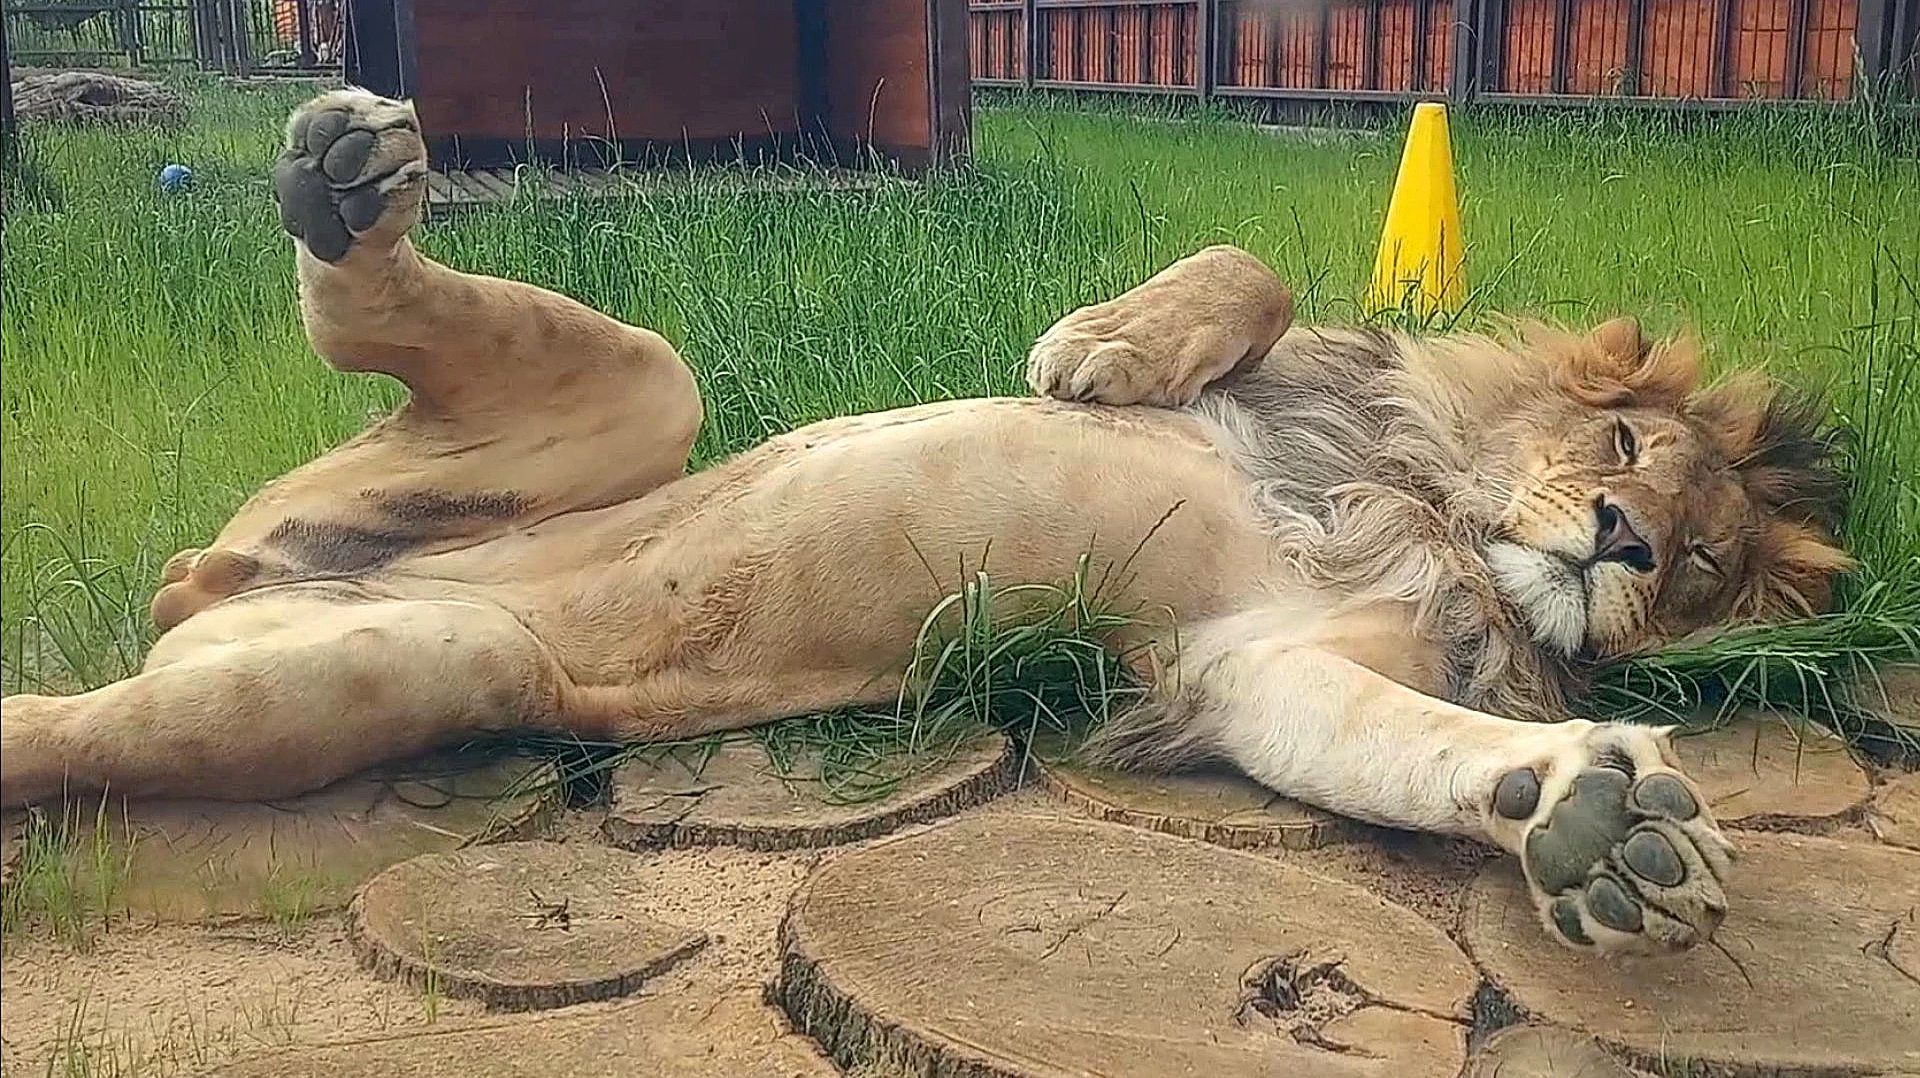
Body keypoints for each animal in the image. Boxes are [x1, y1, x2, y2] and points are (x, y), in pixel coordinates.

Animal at [0, 89, 1852, 958]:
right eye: (1624, 439)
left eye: (1699, 561)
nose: (1618, 538)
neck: (1420, 501)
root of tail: (222, 575)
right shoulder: (1297, 397)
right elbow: (1248, 268)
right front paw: (1100, 347)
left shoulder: (1255, 663)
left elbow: (1401, 741)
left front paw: (1589, 825)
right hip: (635, 410)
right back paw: (343, 173)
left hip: (415, 654)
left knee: (67, 720)